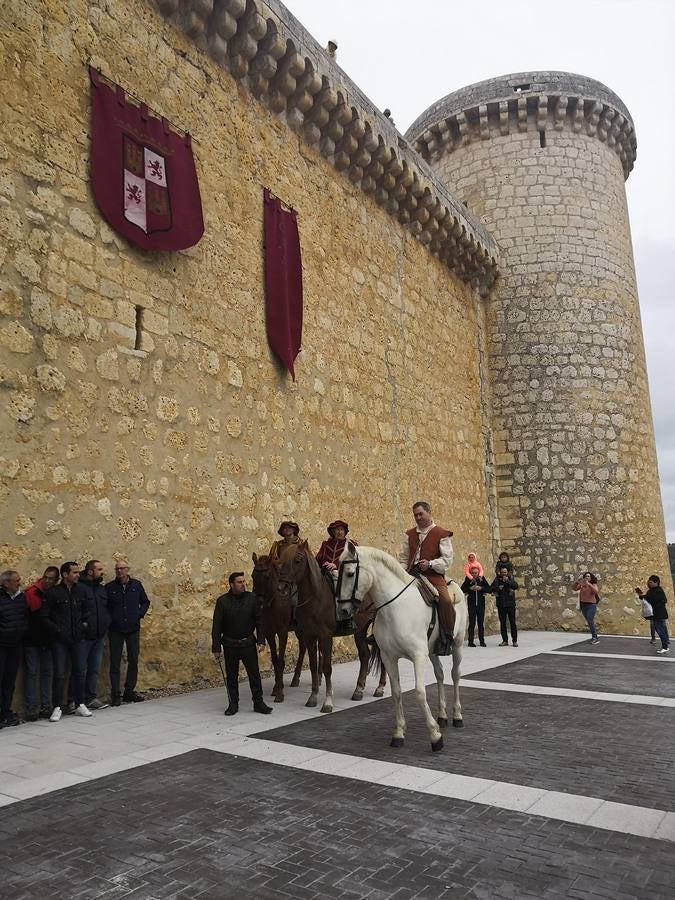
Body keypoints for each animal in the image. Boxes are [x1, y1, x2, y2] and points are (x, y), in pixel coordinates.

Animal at [336, 540, 468, 752]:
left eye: (349, 573)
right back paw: (442, 715)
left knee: (455, 675)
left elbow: (420, 692)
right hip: (433, 651)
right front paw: (398, 733)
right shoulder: (389, 658)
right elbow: (396, 692)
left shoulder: (418, 656)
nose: (343, 611)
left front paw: (435, 736)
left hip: (457, 645)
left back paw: (457, 716)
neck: (394, 608)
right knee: (440, 674)